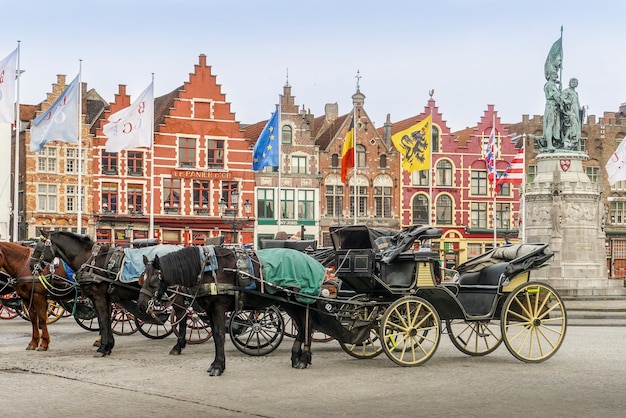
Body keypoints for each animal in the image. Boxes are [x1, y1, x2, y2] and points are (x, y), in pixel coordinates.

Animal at [38, 230, 191, 358]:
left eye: (38, 248)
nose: (34, 267)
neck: (89, 259)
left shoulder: (99, 297)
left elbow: (103, 321)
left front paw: (103, 348)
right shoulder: (105, 298)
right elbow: (105, 320)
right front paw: (108, 346)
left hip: (175, 294)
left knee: (182, 315)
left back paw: (178, 346)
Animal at [136, 245, 370, 376]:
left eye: (154, 280)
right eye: (141, 278)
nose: (141, 304)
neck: (207, 268)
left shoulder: (219, 307)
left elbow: (219, 335)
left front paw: (218, 366)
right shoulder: (210, 309)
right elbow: (216, 335)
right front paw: (215, 362)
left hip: (301, 300)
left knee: (307, 325)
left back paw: (303, 358)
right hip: (289, 302)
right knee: (305, 326)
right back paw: (298, 357)